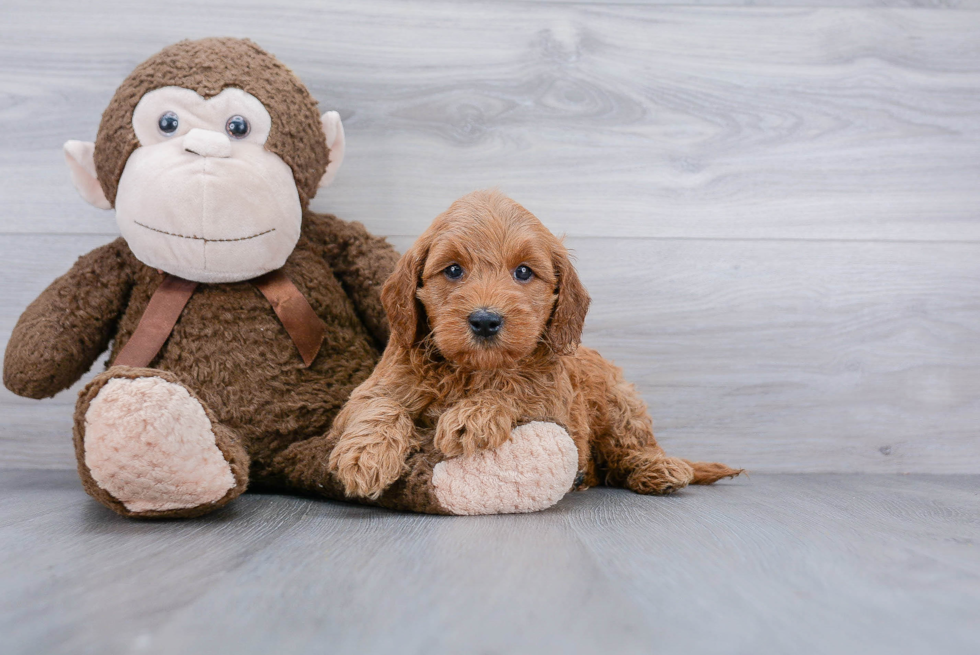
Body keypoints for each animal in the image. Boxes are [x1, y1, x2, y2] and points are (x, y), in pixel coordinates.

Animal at [326, 192, 740, 500]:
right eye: (454, 270)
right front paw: (365, 457)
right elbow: (380, 406)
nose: (485, 321)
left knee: (631, 447)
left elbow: (516, 391)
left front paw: (472, 416)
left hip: (620, 401)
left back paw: (656, 467)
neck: (473, 370)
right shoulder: (372, 389)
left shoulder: (555, 403)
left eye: (523, 272)